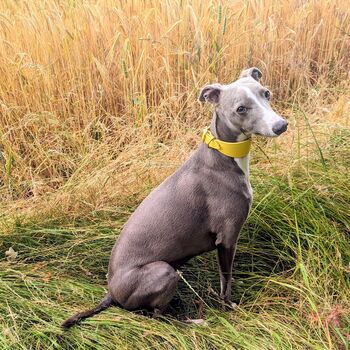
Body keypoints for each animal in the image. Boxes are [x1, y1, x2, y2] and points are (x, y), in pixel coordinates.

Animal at [62, 66, 288, 328]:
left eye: (266, 93)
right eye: (240, 108)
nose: (281, 125)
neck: (224, 156)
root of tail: (111, 292)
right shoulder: (227, 238)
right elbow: (225, 282)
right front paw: (228, 310)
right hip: (164, 271)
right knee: (158, 316)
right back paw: (194, 322)